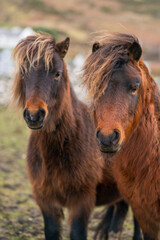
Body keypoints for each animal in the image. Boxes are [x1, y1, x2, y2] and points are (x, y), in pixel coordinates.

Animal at [11, 32, 140, 240]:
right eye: (23, 73)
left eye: (57, 73)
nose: (34, 115)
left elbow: (77, 233)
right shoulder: (45, 200)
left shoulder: (82, 202)